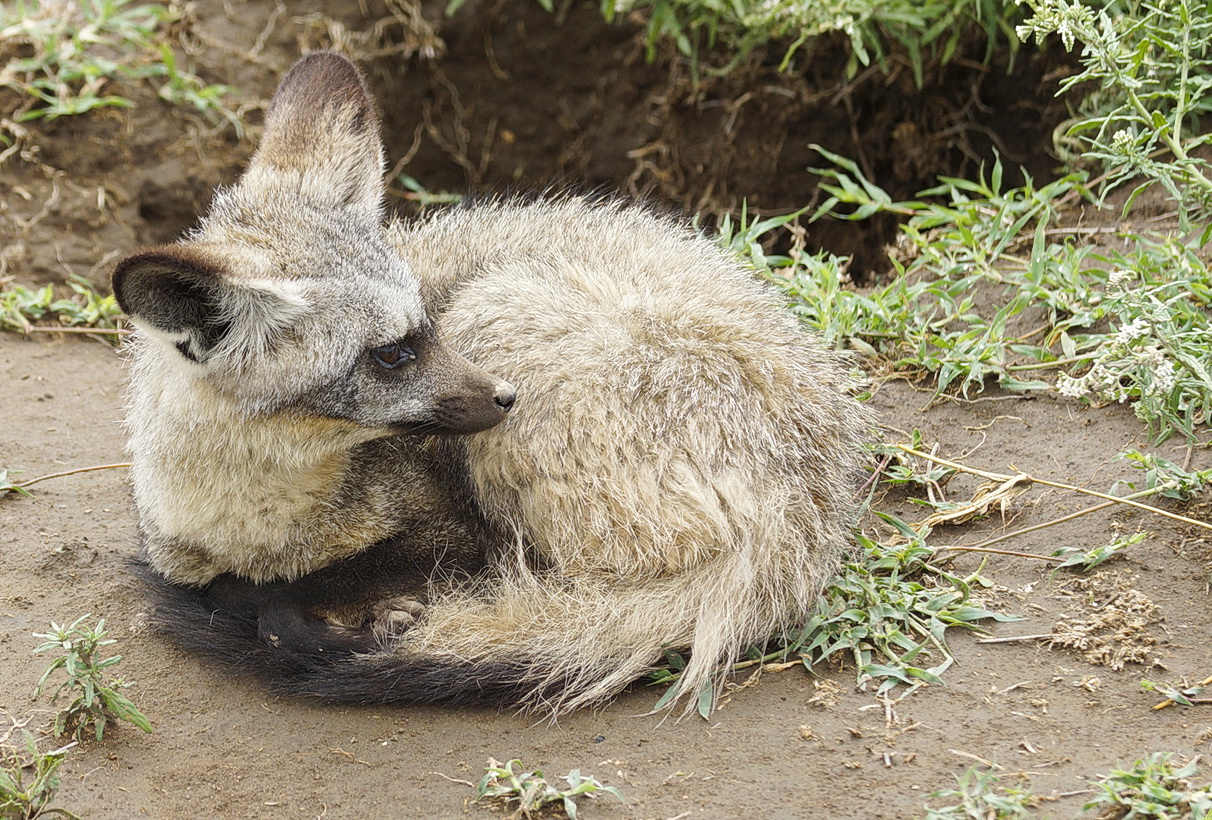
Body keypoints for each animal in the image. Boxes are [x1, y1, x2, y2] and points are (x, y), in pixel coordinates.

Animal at [113, 52, 872, 717]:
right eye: (390, 355)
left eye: (426, 321)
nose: (507, 399)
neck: (262, 517)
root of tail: (808, 504)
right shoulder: (179, 553)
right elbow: (235, 590)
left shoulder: (453, 530)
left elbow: (276, 607)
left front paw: (361, 624)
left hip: (491, 308)